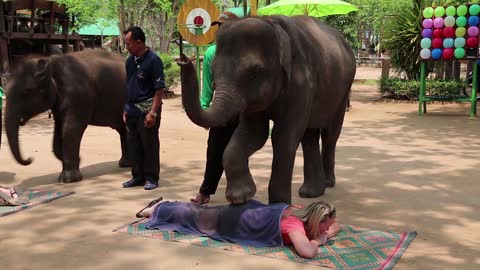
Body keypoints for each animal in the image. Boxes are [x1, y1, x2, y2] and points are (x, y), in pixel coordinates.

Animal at [4, 49, 131, 182]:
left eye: (26, 92)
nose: (30, 159)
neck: (51, 61)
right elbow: (58, 132)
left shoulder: (78, 95)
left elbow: (71, 129)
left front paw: (68, 179)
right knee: (123, 129)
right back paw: (125, 164)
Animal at [178, 14, 354, 205]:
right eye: (212, 69)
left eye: (254, 72)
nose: (183, 60)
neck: (272, 22)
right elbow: (253, 133)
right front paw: (240, 196)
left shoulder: (302, 83)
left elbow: (283, 137)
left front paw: (280, 205)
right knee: (309, 137)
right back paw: (310, 192)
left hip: (343, 90)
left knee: (330, 134)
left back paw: (327, 183)